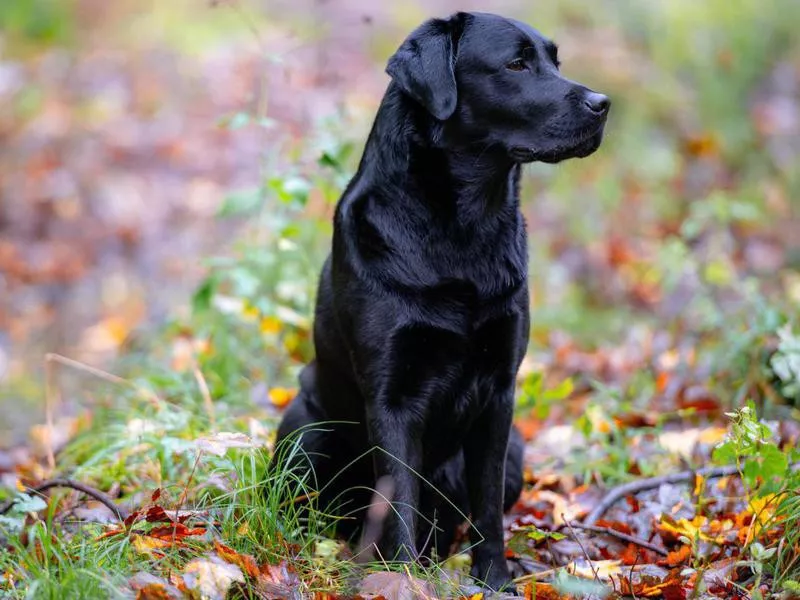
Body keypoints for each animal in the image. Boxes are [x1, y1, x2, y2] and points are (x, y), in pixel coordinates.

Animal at [272, 10, 608, 592]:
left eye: (554, 60)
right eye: (516, 63)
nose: (602, 103)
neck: (463, 229)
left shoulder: (499, 393)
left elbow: (487, 507)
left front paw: (494, 580)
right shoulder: (392, 397)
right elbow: (398, 500)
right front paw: (402, 581)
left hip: (517, 448)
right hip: (304, 430)